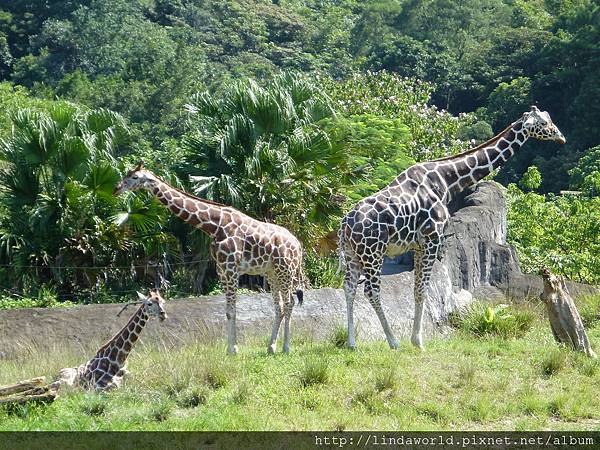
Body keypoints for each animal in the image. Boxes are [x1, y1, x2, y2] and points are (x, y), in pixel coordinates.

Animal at [115, 163, 308, 354]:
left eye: (134, 177)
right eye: (127, 174)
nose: (116, 188)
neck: (214, 226)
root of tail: (298, 245)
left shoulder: (231, 269)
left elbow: (232, 310)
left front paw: (233, 350)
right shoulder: (222, 270)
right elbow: (228, 311)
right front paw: (231, 349)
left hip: (286, 270)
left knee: (289, 302)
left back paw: (286, 347)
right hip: (271, 273)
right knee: (279, 306)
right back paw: (271, 347)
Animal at [340, 106, 564, 352]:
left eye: (549, 118)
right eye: (543, 123)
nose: (560, 137)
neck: (447, 180)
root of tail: (345, 225)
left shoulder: (418, 245)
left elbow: (417, 290)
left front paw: (416, 339)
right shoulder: (432, 238)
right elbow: (422, 290)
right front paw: (418, 342)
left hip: (353, 254)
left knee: (349, 288)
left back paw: (352, 343)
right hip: (373, 253)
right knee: (371, 291)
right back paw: (393, 341)